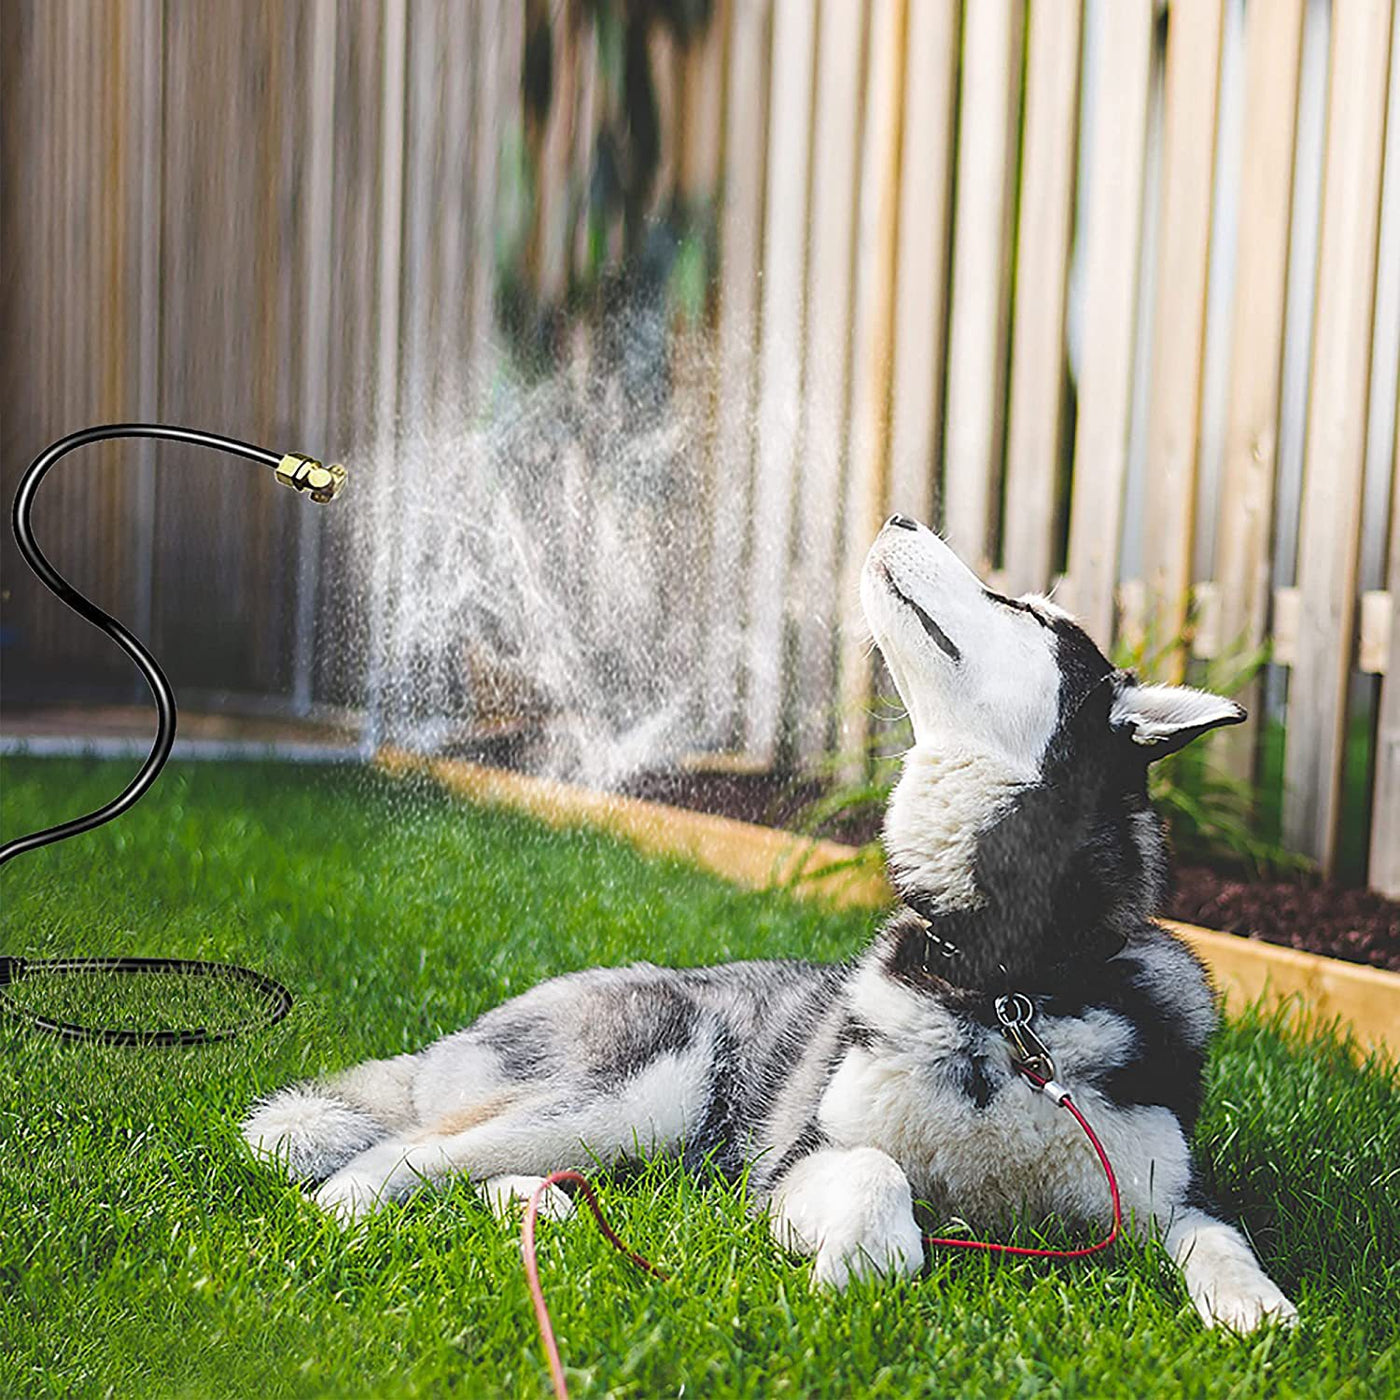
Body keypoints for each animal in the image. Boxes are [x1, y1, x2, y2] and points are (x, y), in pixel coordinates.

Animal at [243, 518, 1299, 1332]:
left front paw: (1258, 1309)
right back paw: (343, 1214)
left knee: (521, 1173)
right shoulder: (794, 1167)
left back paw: (539, 1215)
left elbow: (1222, 1238)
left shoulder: (1165, 1193)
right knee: (409, 1149)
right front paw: (860, 1267)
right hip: (643, 1088)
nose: (902, 515)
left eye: (1032, 615)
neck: (1006, 991)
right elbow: (877, 1175)